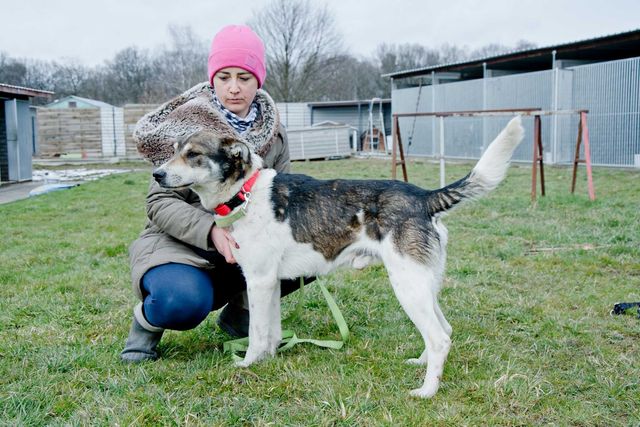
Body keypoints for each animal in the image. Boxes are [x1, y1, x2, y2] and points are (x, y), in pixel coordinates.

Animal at [154, 117, 524, 398]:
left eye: (193, 154)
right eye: (173, 151)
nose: (157, 174)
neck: (245, 192)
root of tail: (423, 197)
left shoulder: (258, 281)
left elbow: (258, 334)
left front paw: (248, 363)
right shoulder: (269, 283)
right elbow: (271, 331)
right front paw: (270, 359)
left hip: (407, 286)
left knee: (440, 337)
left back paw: (427, 391)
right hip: (423, 284)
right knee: (443, 330)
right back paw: (421, 364)